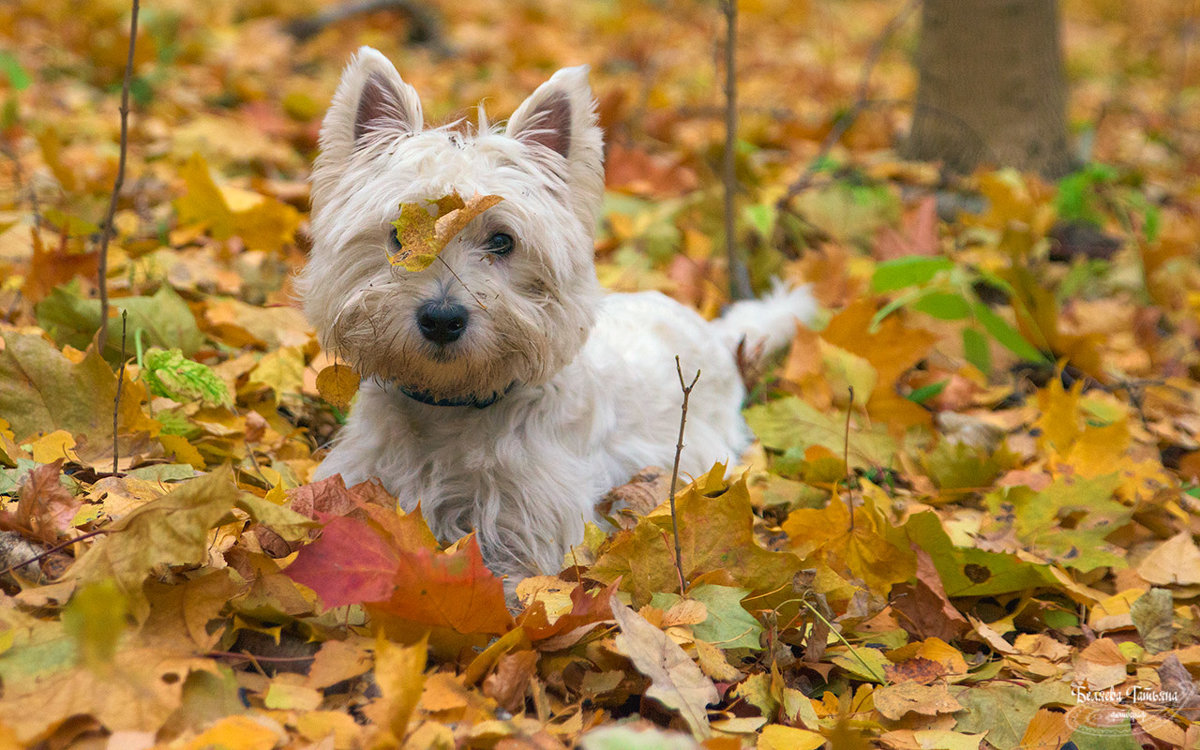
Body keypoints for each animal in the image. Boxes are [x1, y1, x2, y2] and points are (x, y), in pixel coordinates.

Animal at [300, 48, 816, 585]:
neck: (449, 409)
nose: (442, 319)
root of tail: (712, 331)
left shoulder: (529, 531)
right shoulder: (362, 483)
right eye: (401, 232)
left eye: (502, 241)